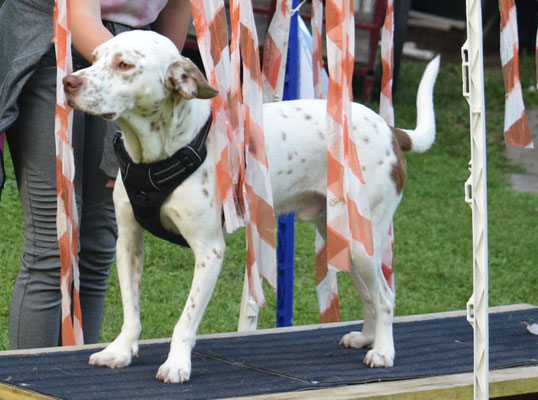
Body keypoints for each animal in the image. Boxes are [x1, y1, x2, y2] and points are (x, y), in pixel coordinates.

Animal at [62, 29, 440, 382]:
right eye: (94, 58)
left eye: (124, 65)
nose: (68, 82)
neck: (157, 154)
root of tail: (389, 129)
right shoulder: (128, 241)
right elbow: (131, 310)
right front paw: (120, 351)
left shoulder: (209, 251)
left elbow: (186, 320)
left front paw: (177, 364)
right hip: (343, 240)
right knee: (371, 295)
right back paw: (366, 338)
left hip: (364, 240)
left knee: (385, 296)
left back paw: (383, 351)